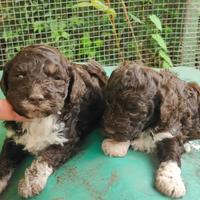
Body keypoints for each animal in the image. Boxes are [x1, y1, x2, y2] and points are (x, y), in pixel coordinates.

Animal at [0, 44, 108, 198]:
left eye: (56, 78)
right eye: (20, 76)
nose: (36, 98)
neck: (39, 119)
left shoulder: (66, 141)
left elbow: (43, 159)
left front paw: (30, 182)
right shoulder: (13, 139)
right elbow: (4, 161)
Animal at [101, 61, 200, 198]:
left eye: (133, 110)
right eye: (108, 101)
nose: (108, 130)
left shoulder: (170, 133)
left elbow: (171, 158)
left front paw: (171, 182)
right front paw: (115, 144)